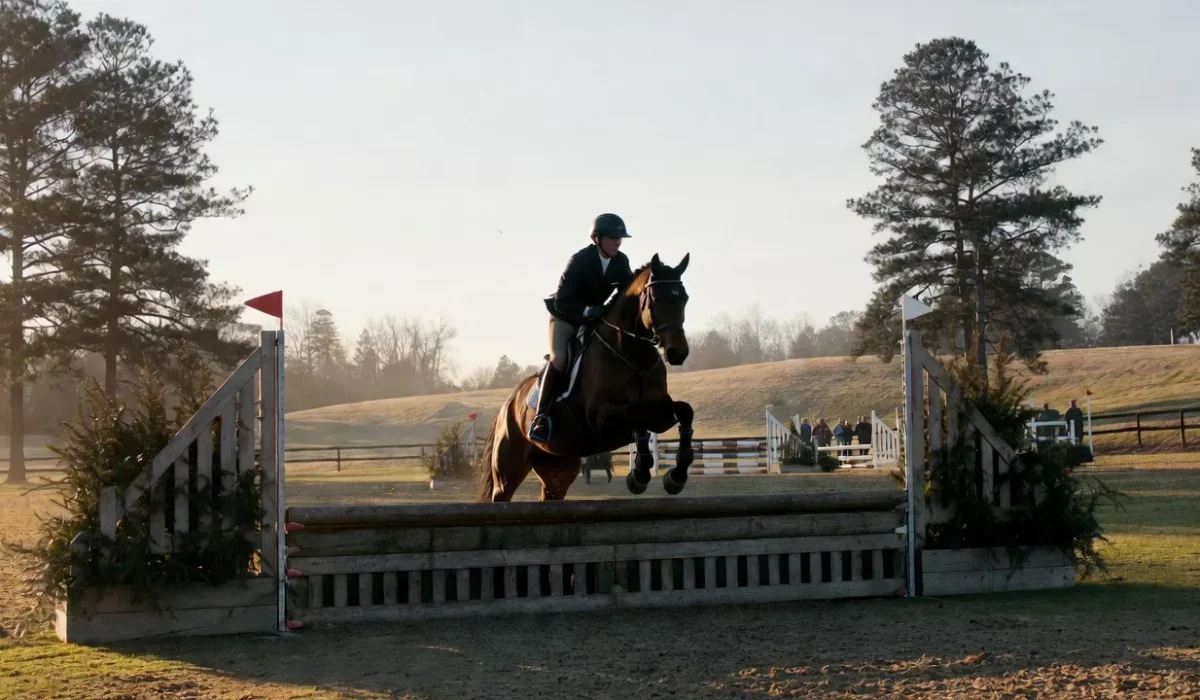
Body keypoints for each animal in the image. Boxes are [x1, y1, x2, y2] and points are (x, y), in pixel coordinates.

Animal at [478, 253, 696, 502]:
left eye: (685, 298)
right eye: (657, 299)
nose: (678, 353)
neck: (632, 356)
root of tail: (508, 404)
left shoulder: (659, 411)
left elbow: (684, 411)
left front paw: (676, 476)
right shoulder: (601, 417)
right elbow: (635, 415)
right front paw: (639, 474)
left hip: (557, 467)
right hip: (508, 470)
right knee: (501, 493)